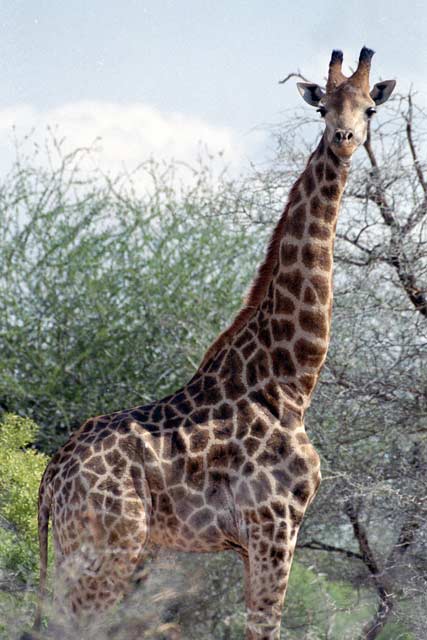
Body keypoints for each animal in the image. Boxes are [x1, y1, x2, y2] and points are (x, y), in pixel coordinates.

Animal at [32, 48, 395, 639]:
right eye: (324, 108)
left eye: (369, 109)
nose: (343, 139)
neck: (290, 381)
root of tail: (49, 479)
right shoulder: (274, 525)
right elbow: (265, 627)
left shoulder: (255, 540)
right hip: (109, 548)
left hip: (76, 548)